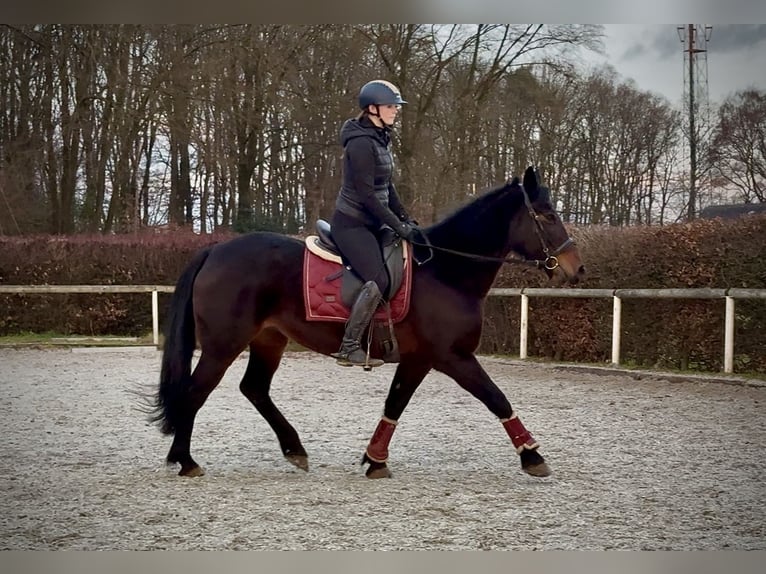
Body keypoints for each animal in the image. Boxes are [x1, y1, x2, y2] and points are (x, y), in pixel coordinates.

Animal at [150, 166, 585, 478]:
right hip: (224, 344)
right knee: (195, 391)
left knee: (254, 388)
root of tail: (216, 250)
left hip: (268, 339)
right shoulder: (453, 357)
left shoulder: (418, 359)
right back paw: (185, 460)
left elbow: (394, 404)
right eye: (547, 215)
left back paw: (294, 450)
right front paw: (532, 455)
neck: (446, 270)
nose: (576, 268)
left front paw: (375, 459)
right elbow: (496, 398)